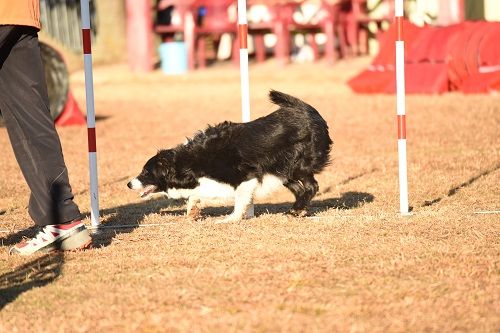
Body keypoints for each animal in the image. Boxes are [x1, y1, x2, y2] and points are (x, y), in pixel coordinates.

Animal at [128, 89, 332, 222]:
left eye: (145, 172)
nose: (129, 184)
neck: (187, 161)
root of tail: (307, 110)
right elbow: (198, 194)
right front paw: (193, 210)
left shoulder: (247, 176)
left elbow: (239, 199)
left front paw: (231, 219)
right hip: (281, 171)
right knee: (301, 189)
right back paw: (296, 211)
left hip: (296, 165)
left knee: (311, 186)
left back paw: (297, 210)